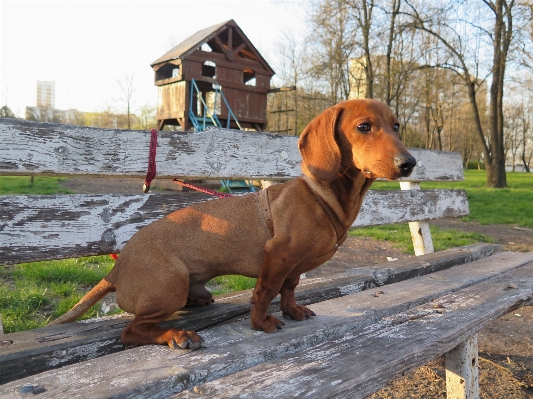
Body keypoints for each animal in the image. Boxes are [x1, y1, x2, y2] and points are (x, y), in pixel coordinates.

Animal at [50, 100, 416, 350]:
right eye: (364, 127)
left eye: (397, 126)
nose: (410, 163)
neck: (322, 197)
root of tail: (115, 271)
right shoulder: (277, 255)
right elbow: (265, 292)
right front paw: (261, 323)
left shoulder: (293, 266)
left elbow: (289, 289)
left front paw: (292, 311)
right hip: (170, 285)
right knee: (132, 331)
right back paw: (177, 335)